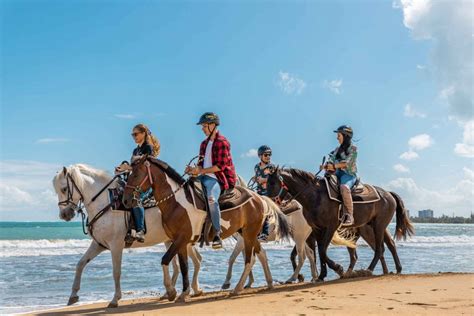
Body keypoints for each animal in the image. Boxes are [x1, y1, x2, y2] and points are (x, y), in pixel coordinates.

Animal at [52, 164, 204, 308]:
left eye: (64, 189)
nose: (64, 215)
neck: (106, 204)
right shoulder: (99, 244)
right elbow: (80, 264)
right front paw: (73, 295)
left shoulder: (116, 245)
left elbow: (116, 272)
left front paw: (115, 299)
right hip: (172, 241)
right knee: (179, 265)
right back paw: (171, 292)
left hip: (184, 241)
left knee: (196, 261)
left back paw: (193, 290)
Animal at [121, 157, 292, 302]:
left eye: (135, 174)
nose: (125, 200)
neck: (176, 203)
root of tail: (259, 197)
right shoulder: (180, 242)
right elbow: (184, 266)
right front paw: (184, 292)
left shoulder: (181, 239)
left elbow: (165, 260)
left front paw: (171, 291)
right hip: (246, 233)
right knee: (261, 254)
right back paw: (269, 283)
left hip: (249, 234)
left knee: (250, 260)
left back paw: (237, 288)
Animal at [266, 168, 414, 282]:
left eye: (273, 183)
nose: (268, 203)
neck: (315, 197)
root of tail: (388, 193)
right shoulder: (317, 229)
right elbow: (319, 252)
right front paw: (322, 275)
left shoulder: (330, 227)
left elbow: (321, 251)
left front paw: (338, 268)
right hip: (375, 227)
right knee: (385, 246)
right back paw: (393, 269)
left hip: (378, 226)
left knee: (380, 248)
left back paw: (368, 270)